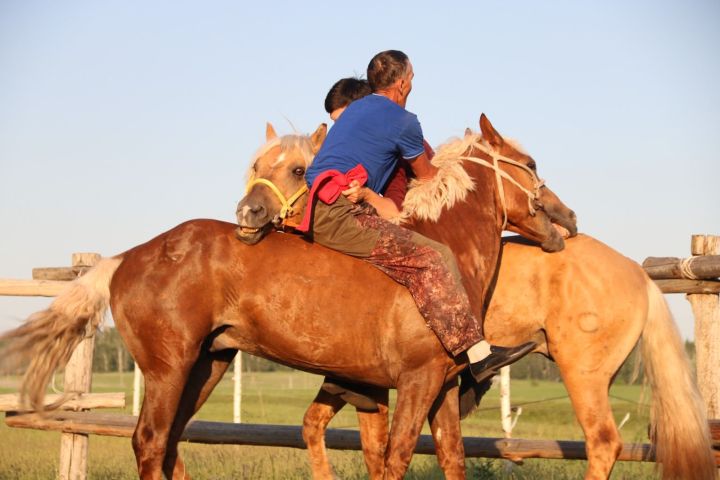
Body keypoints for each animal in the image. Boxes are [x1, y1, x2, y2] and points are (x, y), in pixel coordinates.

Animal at [0, 114, 564, 478]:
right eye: (532, 163)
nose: (567, 219)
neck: (442, 246)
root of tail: (126, 257)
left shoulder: (441, 388)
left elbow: (449, 458)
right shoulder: (417, 381)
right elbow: (397, 456)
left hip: (207, 364)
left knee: (170, 443)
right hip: (168, 368)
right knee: (151, 442)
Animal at [236, 121, 716, 480]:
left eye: (299, 169)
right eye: (257, 165)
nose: (247, 214)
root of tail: (637, 272)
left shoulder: (381, 384)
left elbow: (379, 451)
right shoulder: (356, 382)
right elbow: (322, 430)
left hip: (584, 375)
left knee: (602, 443)